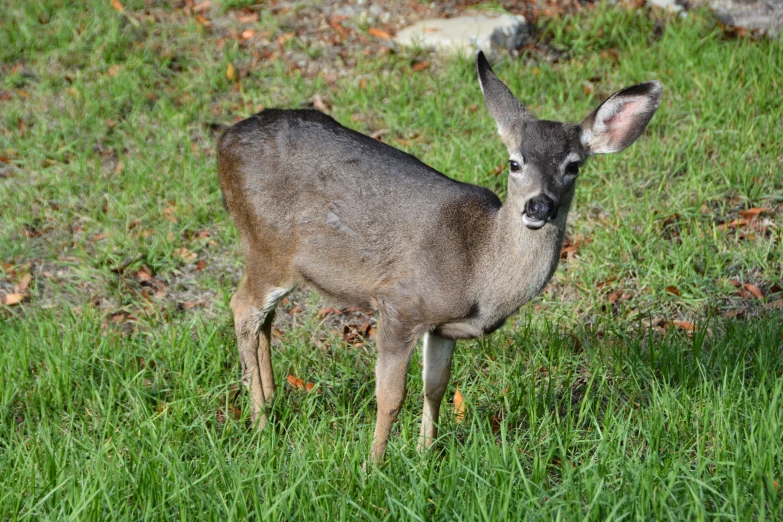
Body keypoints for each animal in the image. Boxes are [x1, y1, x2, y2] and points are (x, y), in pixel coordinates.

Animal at [219, 50, 660, 462]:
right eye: (514, 162)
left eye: (573, 166)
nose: (539, 206)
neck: (478, 270)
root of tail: (223, 142)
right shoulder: (401, 303)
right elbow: (390, 395)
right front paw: (373, 464)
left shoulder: (443, 327)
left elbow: (437, 386)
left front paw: (425, 453)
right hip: (267, 247)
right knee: (241, 306)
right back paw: (260, 422)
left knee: (265, 319)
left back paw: (272, 401)